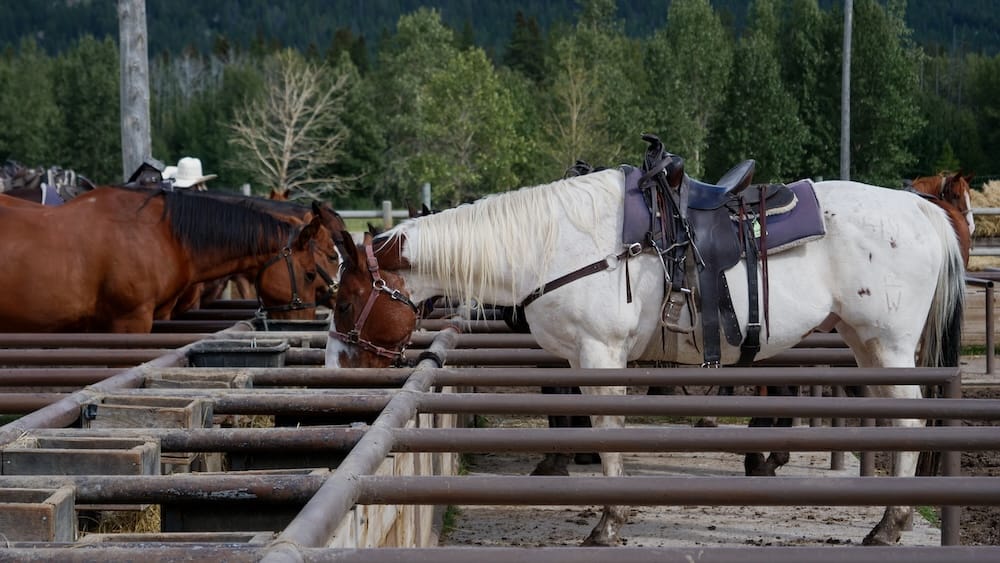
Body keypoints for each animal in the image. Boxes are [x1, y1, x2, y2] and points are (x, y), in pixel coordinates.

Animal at [325, 159, 965, 546]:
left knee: (910, 421)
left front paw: (608, 523)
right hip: (866, 343)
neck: (551, 244)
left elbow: (607, 431)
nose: (340, 372)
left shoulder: (599, 354)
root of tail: (921, 211)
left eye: (346, 299)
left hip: (888, 342)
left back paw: (890, 525)